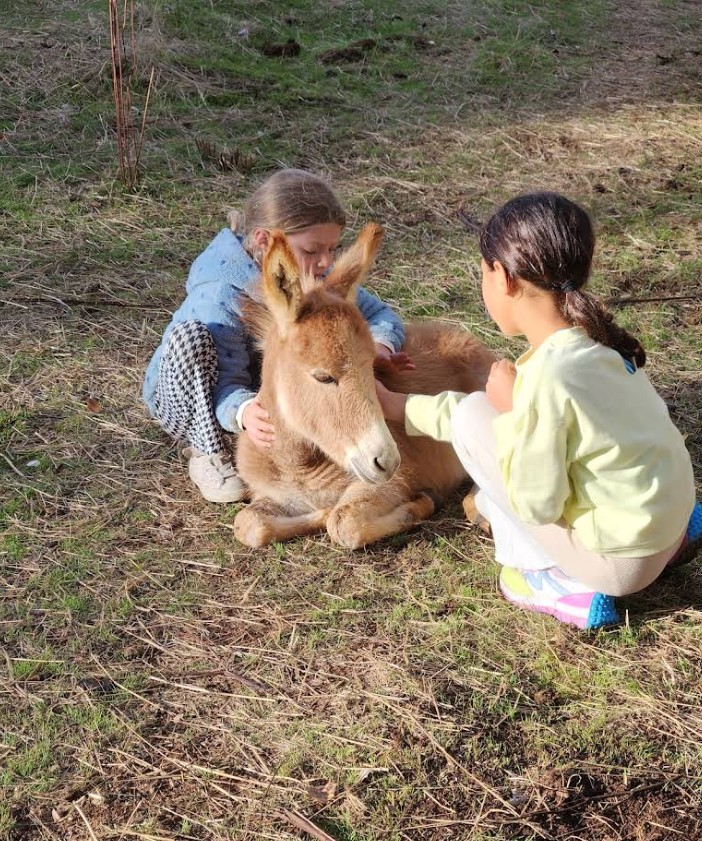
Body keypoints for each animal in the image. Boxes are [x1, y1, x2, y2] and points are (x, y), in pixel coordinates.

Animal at [233, 223, 495, 549]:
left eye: (371, 366)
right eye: (323, 377)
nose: (388, 461)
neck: (296, 463)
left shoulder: (394, 481)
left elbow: (342, 523)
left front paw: (421, 504)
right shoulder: (274, 495)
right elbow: (248, 523)